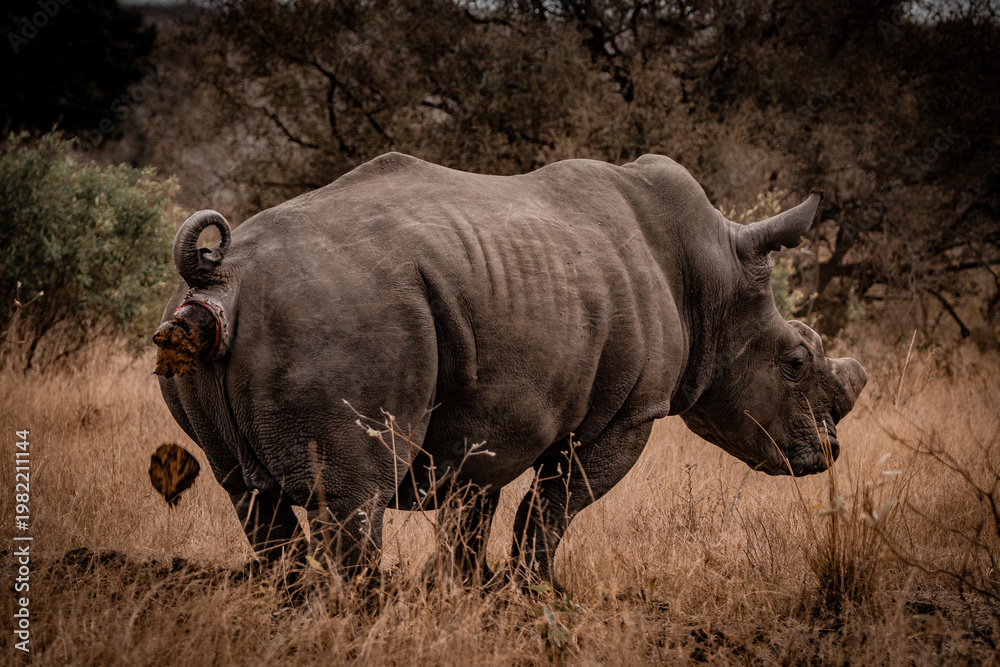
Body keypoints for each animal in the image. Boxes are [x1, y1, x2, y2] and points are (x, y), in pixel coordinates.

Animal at [154, 152, 867, 587]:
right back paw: (356, 611)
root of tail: (220, 277)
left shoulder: (496, 415)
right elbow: (553, 507)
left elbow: (475, 512)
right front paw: (538, 595)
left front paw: (461, 593)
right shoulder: (628, 415)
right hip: (341, 314)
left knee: (247, 492)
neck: (715, 280)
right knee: (353, 495)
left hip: (215, 331)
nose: (829, 452)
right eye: (795, 362)